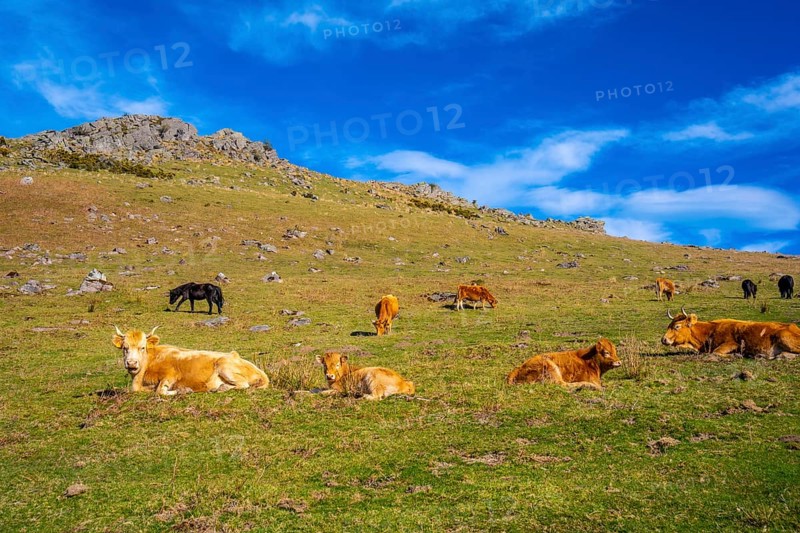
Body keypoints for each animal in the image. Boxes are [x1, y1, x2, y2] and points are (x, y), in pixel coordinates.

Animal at [112, 326, 269, 394]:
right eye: (125, 348)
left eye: (142, 347)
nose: (132, 363)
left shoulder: (171, 375)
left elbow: (160, 391)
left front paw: (183, 391)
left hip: (224, 366)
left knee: (243, 384)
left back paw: (220, 388)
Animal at [660, 307, 800, 358]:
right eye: (669, 326)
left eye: (677, 326)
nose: (663, 339)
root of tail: (793, 326)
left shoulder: (733, 344)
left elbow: (715, 352)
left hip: (783, 337)